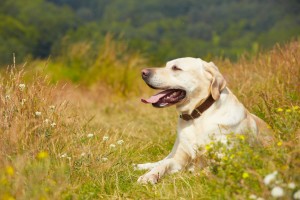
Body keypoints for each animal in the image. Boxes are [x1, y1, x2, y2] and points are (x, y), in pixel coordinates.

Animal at [136, 57, 272, 184]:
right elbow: (164, 164)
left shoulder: (228, 160)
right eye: (166, 65)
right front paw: (148, 176)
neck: (196, 117)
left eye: (175, 68)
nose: (143, 72)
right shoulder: (178, 159)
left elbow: (205, 170)